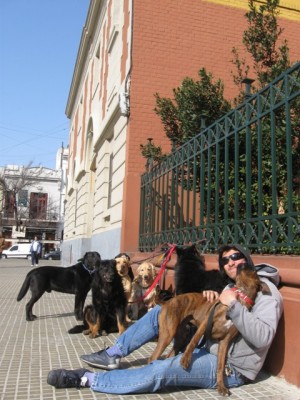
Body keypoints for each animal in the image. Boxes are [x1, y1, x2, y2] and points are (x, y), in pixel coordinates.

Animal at [149, 262, 270, 396]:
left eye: (251, 269)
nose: (241, 264)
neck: (239, 299)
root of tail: (167, 303)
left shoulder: (225, 342)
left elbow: (220, 366)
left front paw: (221, 387)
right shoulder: (205, 323)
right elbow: (193, 342)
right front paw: (185, 360)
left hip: (180, 336)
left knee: (167, 356)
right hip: (168, 335)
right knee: (152, 358)